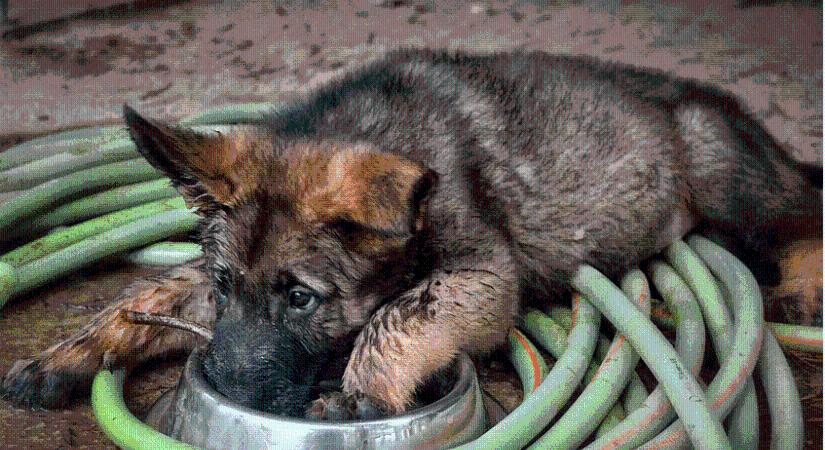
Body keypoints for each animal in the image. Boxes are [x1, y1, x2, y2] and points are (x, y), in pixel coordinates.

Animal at [0, 48, 816, 418]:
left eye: (301, 299)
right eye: (229, 286)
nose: (227, 388)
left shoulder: (483, 275)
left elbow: (397, 316)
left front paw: (357, 398)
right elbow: (148, 294)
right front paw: (64, 358)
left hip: (720, 173)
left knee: (803, 206)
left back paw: (805, 281)